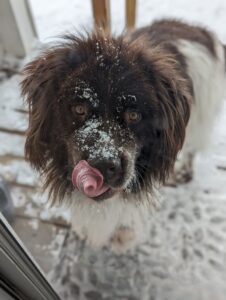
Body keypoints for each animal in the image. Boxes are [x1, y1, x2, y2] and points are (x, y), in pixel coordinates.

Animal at [21, 19, 226, 252]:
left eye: (134, 115)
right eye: (79, 109)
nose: (102, 165)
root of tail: (198, 30)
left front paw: (125, 233)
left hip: (201, 117)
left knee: (193, 148)